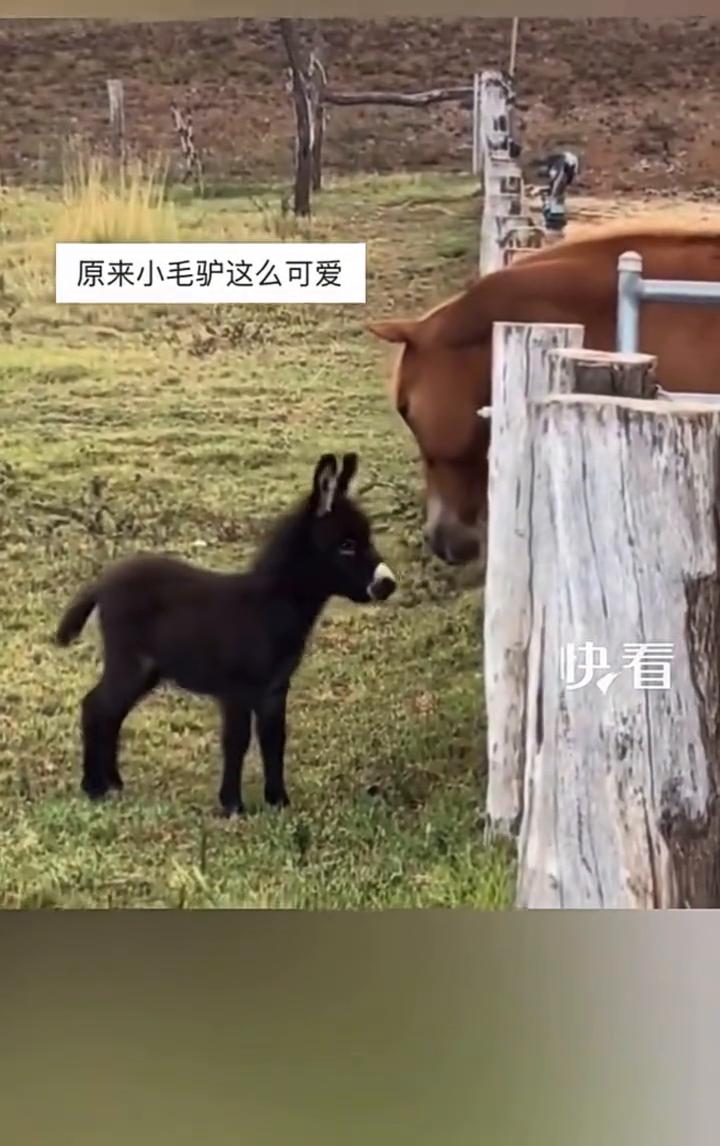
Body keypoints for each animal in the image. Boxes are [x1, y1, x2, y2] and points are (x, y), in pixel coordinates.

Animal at [54, 452, 397, 816]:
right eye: (346, 545)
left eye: (368, 539)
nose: (388, 584)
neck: (269, 606)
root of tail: (104, 580)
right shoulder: (237, 690)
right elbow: (237, 742)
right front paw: (233, 806)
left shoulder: (274, 689)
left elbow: (274, 741)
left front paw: (279, 802)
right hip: (130, 661)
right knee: (96, 706)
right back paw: (93, 788)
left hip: (146, 669)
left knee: (110, 712)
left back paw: (113, 783)